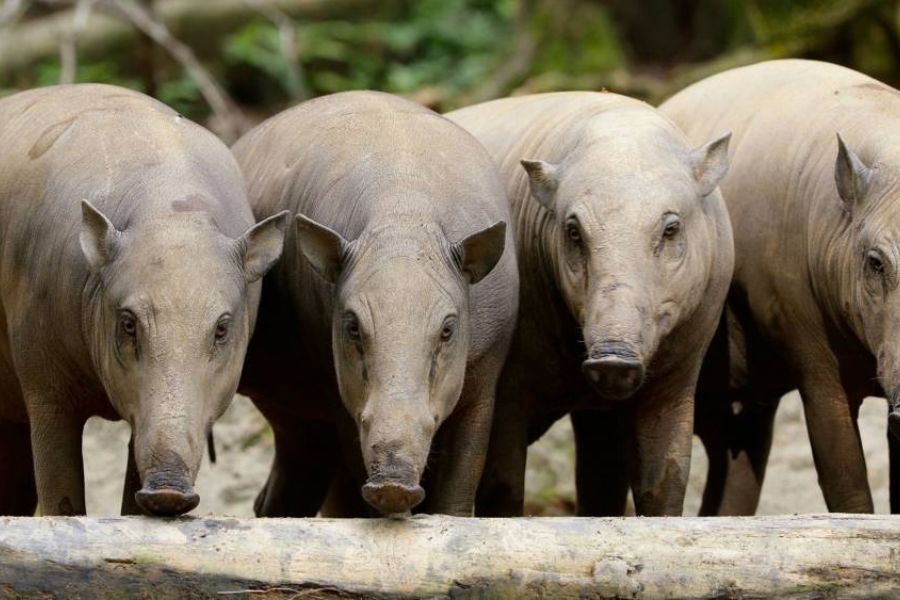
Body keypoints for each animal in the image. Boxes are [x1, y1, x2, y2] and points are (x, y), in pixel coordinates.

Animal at [0, 84, 288, 516]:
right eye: (128, 322)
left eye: (222, 329)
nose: (169, 491)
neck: (169, 208)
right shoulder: (43, 386)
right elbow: (61, 500)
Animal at [234, 91, 518, 517]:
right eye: (352, 326)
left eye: (448, 330)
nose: (393, 485)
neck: (405, 213)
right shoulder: (338, 388)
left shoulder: (485, 379)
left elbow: (459, 489)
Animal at [447, 92, 733, 516]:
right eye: (573, 232)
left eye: (671, 229)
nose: (613, 359)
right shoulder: (508, 391)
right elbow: (502, 486)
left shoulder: (677, 379)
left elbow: (665, 482)